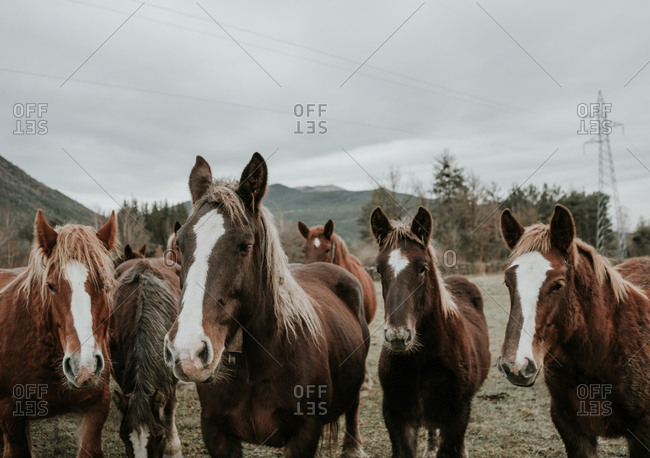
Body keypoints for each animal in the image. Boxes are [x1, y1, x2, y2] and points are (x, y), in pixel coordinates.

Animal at [370, 206, 490, 458]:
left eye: (422, 268)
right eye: (379, 270)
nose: (398, 337)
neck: (421, 362)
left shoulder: (457, 415)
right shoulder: (396, 417)